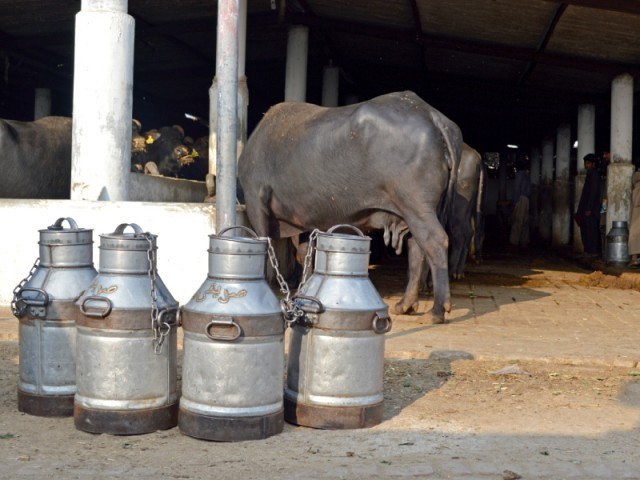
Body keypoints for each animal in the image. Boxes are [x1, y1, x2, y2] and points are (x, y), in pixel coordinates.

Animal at [238, 90, 462, 322]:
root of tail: (430, 115)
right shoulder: (306, 219)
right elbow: (304, 253)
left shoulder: (255, 200)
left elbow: (266, 246)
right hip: (414, 212)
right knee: (417, 248)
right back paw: (406, 304)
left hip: (416, 207)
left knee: (435, 242)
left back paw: (438, 309)